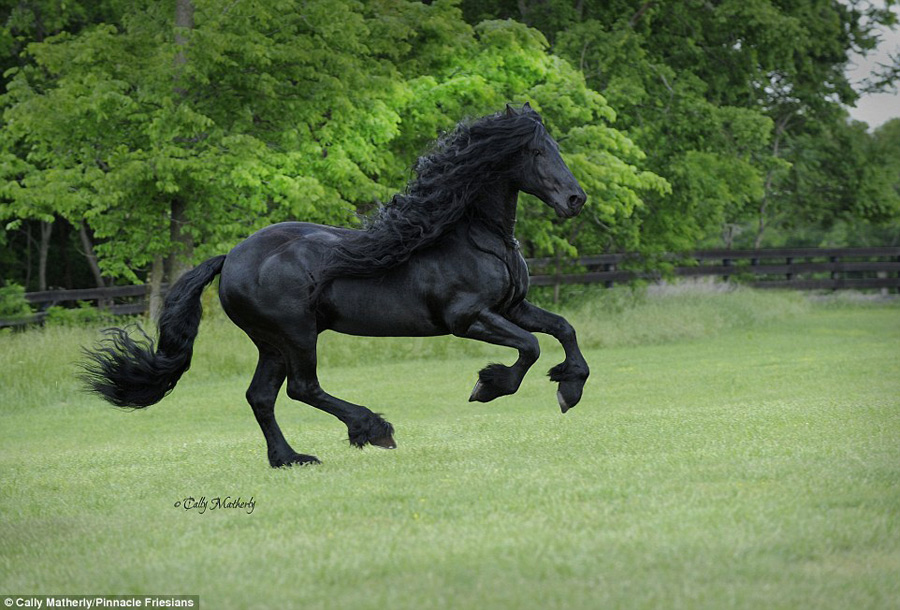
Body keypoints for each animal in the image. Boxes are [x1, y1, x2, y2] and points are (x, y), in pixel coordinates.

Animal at [82, 103, 590, 468]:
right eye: (536, 152)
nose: (575, 199)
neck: (473, 236)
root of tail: (232, 257)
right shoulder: (467, 319)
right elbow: (530, 348)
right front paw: (488, 386)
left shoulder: (513, 307)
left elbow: (562, 329)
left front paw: (570, 389)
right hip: (296, 335)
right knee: (302, 389)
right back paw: (374, 429)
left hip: (272, 343)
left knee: (261, 396)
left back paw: (289, 459)